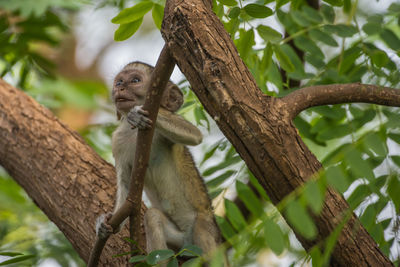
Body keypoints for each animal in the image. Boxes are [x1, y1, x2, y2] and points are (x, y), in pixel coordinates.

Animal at [96, 61, 222, 262]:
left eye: (135, 80)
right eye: (119, 82)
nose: (120, 88)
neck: (132, 132)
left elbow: (194, 135)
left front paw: (137, 115)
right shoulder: (117, 142)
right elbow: (125, 184)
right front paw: (105, 223)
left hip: (207, 229)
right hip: (180, 241)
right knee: (153, 217)